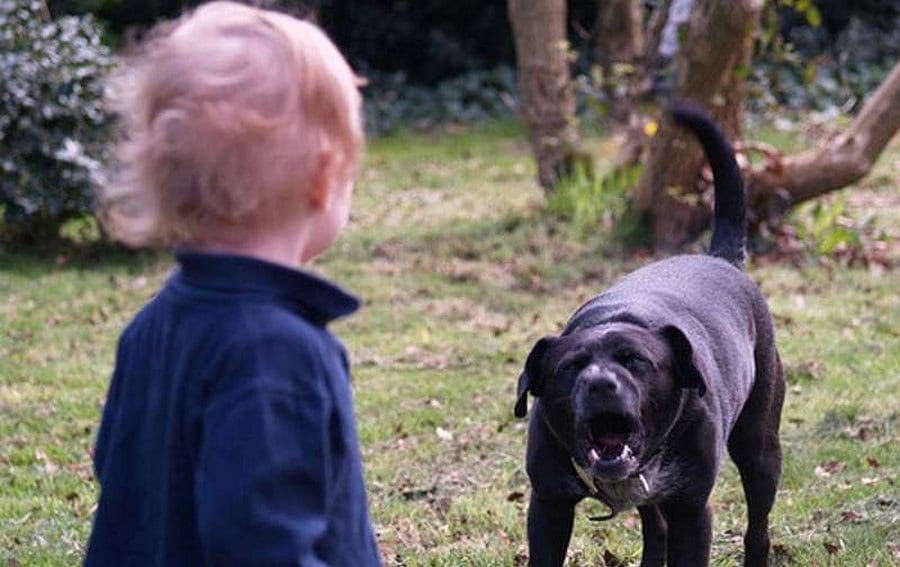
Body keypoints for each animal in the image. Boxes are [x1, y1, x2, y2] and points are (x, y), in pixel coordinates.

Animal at [516, 104, 784, 564]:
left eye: (636, 361)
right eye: (570, 367)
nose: (600, 384)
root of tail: (721, 258)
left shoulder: (692, 509)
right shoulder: (549, 505)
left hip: (760, 448)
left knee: (758, 528)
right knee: (655, 529)